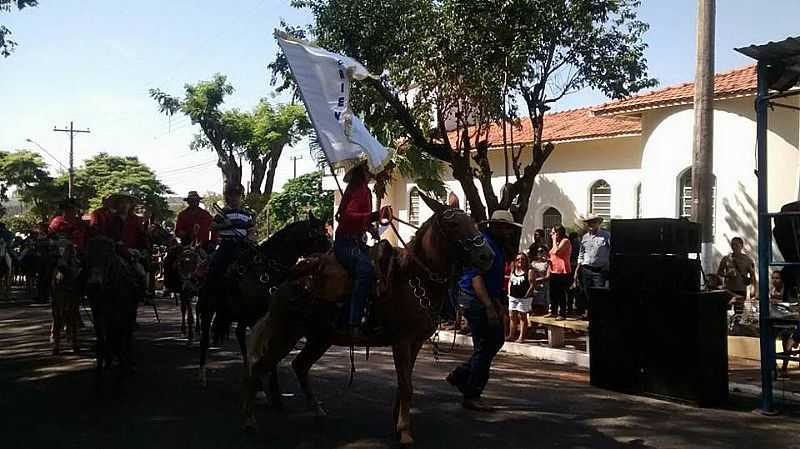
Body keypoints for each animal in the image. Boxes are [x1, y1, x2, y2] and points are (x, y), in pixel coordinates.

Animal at [86, 236, 145, 390]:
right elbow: (101, 344)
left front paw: (121, 380)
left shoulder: (120, 316)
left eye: (108, 258)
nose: (94, 285)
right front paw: (98, 379)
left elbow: (118, 342)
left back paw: (129, 362)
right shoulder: (99, 315)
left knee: (127, 337)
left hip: (130, 314)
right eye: (88, 256)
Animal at [198, 212, 330, 390]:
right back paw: (202, 376)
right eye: (318, 234)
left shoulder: (266, 317)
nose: (331, 248)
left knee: (240, 333)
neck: (266, 270)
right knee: (205, 340)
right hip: (208, 310)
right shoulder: (257, 318)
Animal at [241, 193, 496, 444]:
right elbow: (406, 386)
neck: (415, 278)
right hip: (286, 333)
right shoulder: (402, 342)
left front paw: (397, 424)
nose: (487, 256)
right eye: (454, 224)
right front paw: (405, 431)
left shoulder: (414, 343)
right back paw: (250, 421)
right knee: (259, 368)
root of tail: (288, 279)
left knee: (299, 365)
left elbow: (404, 384)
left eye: (473, 223)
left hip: (320, 337)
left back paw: (317, 411)